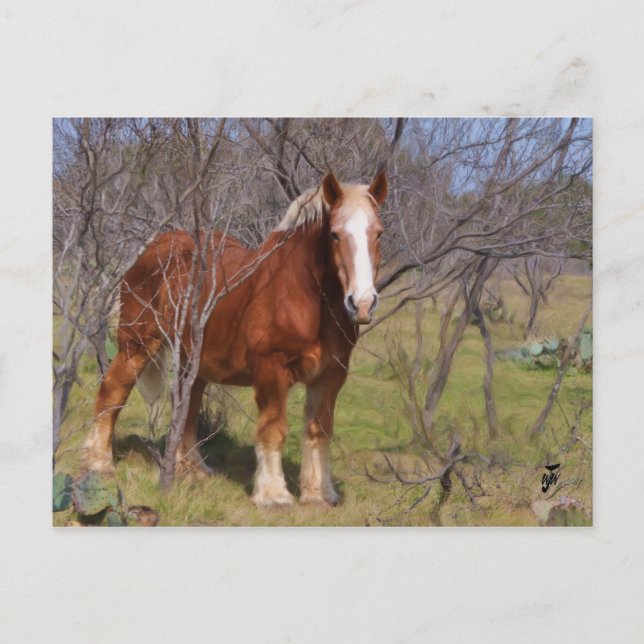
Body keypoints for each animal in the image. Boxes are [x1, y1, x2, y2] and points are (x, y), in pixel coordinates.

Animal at [82, 172, 387, 507]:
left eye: (378, 234)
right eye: (334, 235)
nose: (361, 304)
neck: (304, 294)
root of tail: (151, 248)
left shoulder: (330, 376)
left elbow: (318, 432)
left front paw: (318, 495)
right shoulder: (271, 372)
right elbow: (273, 430)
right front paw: (273, 495)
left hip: (191, 360)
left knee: (186, 407)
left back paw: (193, 470)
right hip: (136, 343)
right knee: (113, 391)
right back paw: (99, 463)